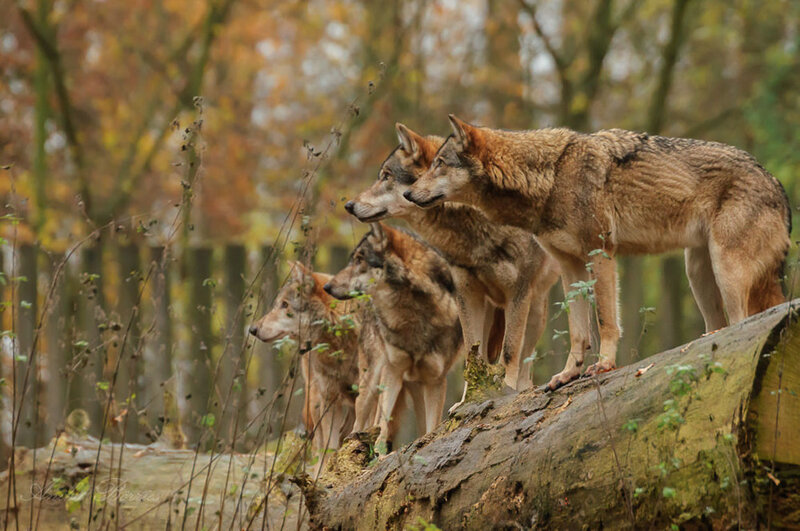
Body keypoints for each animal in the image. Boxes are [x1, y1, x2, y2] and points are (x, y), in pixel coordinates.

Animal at [249, 261, 362, 451]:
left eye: (285, 304)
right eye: (278, 304)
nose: (252, 329)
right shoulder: (327, 399)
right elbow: (329, 446)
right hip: (315, 401)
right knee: (321, 440)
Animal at [324, 223, 465, 450]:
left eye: (360, 259)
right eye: (353, 258)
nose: (327, 287)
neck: (412, 313)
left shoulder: (435, 380)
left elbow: (432, 428)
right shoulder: (393, 371)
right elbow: (382, 429)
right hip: (372, 379)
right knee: (359, 422)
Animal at [344, 123, 560, 394]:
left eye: (386, 176)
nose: (349, 205)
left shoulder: (518, 292)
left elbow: (510, 351)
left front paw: (507, 387)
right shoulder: (466, 294)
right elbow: (472, 355)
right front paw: (469, 397)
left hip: (534, 310)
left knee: (525, 360)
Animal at [406, 115, 790, 390]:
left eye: (440, 163)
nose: (408, 193)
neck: (550, 176)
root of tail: (777, 184)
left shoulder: (600, 253)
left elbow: (605, 320)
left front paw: (604, 364)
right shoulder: (570, 267)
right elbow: (578, 330)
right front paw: (567, 374)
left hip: (725, 270)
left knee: (742, 325)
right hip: (697, 273)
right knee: (721, 326)